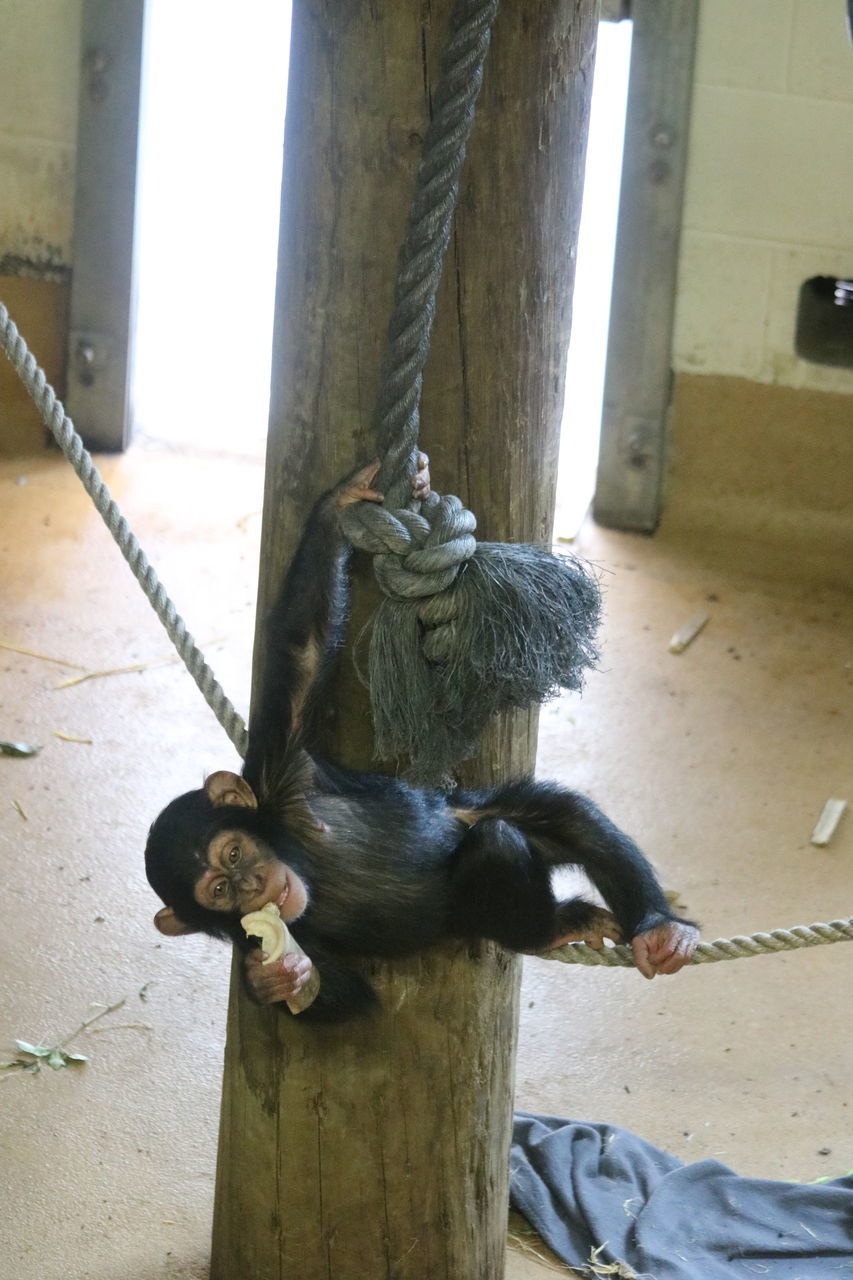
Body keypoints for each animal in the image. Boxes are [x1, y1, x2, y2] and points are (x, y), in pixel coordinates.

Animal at [144, 460, 691, 1018]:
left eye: (233, 855)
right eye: (219, 890)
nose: (251, 885)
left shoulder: (282, 768)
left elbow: (303, 648)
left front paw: (341, 504)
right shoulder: (260, 936)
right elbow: (346, 995)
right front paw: (276, 982)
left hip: (465, 812)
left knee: (544, 823)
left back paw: (654, 928)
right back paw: (562, 925)